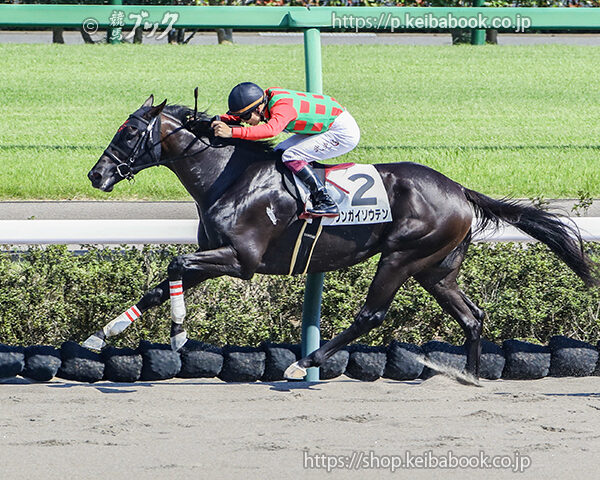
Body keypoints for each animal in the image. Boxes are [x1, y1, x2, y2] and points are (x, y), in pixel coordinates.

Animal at [82, 96, 596, 378]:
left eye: (129, 131)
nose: (96, 175)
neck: (228, 177)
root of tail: (459, 189)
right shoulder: (215, 253)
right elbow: (158, 286)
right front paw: (99, 337)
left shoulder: (241, 259)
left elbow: (173, 266)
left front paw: (178, 336)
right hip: (436, 268)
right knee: (472, 316)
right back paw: (471, 378)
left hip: (402, 256)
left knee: (372, 314)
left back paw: (303, 363)